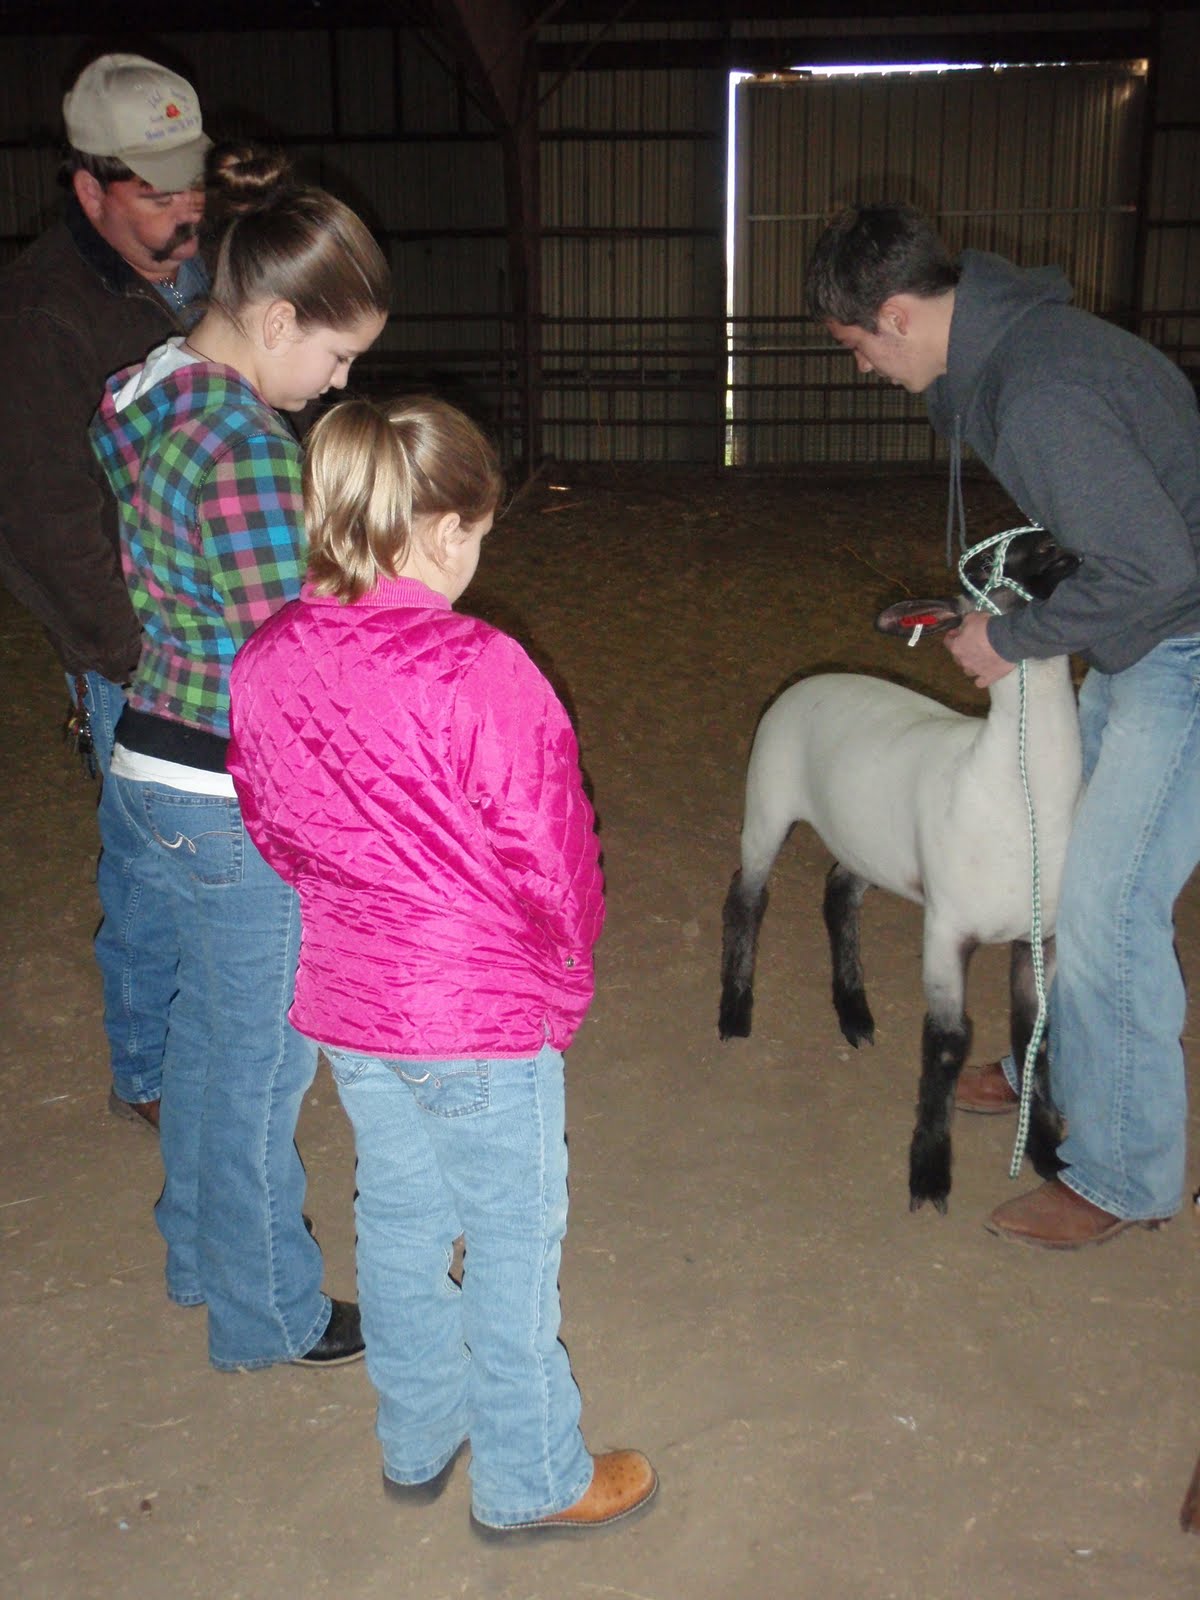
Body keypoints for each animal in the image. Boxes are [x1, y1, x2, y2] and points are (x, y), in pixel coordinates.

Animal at [720, 528, 1088, 1209]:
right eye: (994, 563)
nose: (1070, 553)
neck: (1016, 788)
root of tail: (815, 677)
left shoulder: (1040, 936)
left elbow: (1035, 1036)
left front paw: (1048, 1149)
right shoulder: (947, 930)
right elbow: (946, 1044)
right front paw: (930, 1172)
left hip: (872, 844)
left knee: (839, 894)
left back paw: (855, 1013)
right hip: (766, 806)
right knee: (747, 898)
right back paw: (735, 1013)